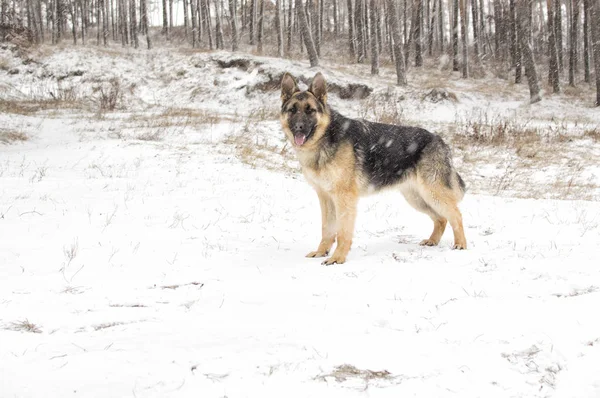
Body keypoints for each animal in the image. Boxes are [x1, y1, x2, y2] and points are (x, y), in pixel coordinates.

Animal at [282, 72, 468, 264]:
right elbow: (327, 229)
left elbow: (342, 232)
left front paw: (338, 258)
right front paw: (321, 252)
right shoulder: (325, 197)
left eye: (310, 110)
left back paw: (460, 245)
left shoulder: (344, 198)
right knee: (441, 219)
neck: (326, 137)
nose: (298, 127)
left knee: (456, 215)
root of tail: (439, 139)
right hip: (417, 198)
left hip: (432, 194)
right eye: (292, 110)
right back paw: (432, 241)